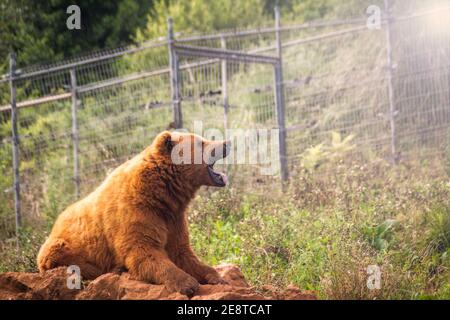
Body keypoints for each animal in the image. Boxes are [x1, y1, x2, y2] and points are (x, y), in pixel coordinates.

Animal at [37, 130, 230, 296]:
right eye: (201, 142)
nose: (226, 143)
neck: (159, 194)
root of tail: (54, 225)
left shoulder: (173, 218)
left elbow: (182, 252)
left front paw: (216, 277)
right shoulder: (136, 214)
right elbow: (144, 253)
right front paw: (188, 284)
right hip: (62, 247)